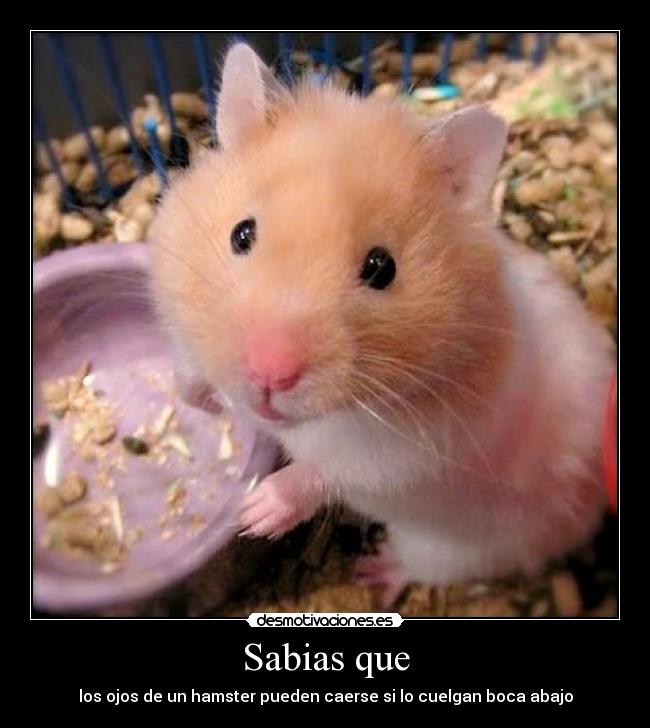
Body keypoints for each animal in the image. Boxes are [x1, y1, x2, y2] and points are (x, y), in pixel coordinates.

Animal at [149, 44, 614, 605]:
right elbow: (188, 371)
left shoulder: (394, 459)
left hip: (462, 548)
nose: (269, 376)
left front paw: (254, 514)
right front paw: (209, 402)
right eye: (242, 234)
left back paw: (373, 572)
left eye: (381, 268)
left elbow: (322, 474)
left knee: (423, 566)